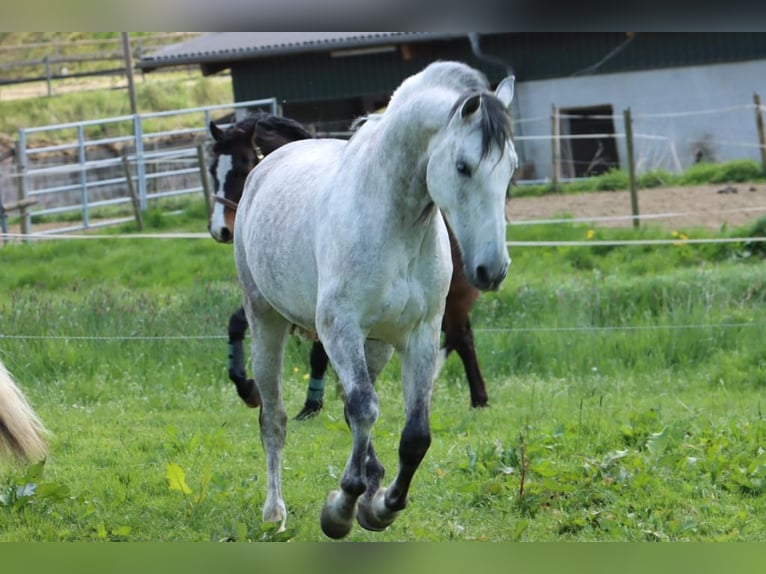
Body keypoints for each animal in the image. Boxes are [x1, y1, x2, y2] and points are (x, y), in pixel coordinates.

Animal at [207, 112, 488, 420]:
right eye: (212, 169)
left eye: (242, 165)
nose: (220, 229)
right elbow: (236, 324)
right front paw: (246, 387)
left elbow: (318, 356)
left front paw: (311, 404)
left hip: (450, 301)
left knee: (461, 338)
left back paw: (476, 397)